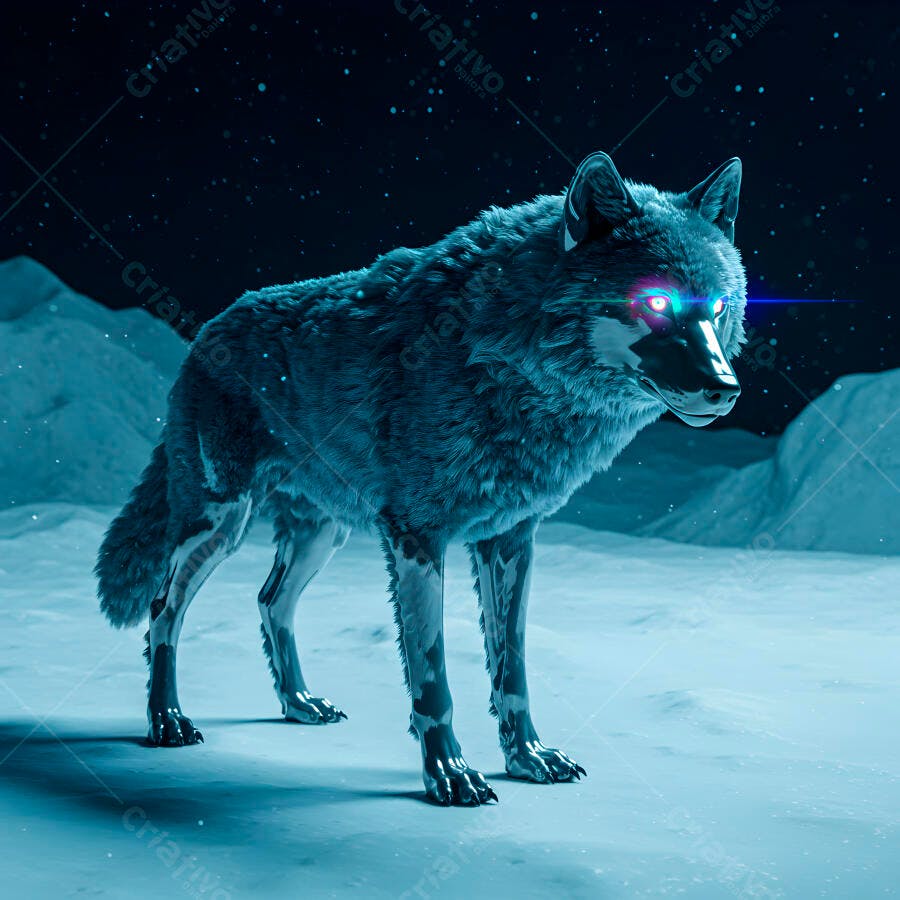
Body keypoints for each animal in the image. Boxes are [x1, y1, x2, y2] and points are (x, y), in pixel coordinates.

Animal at [96, 151, 746, 806]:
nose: (726, 388)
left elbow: (512, 670)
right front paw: (450, 776)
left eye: (718, 307)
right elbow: (433, 679)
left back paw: (298, 704)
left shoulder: (512, 538)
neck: (501, 355)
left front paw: (528, 758)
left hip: (321, 536)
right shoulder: (417, 536)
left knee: (269, 600)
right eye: (657, 304)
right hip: (220, 524)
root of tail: (207, 330)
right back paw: (166, 721)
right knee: (163, 607)